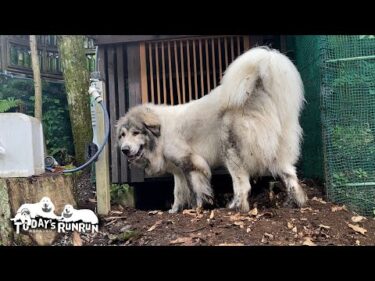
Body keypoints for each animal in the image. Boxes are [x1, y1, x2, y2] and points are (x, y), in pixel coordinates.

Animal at [117, 46, 308, 212]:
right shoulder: (178, 171)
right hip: (277, 152)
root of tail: (256, 91)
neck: (161, 133)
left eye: (136, 133)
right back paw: (297, 202)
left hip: (231, 153)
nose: (124, 149)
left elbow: (197, 189)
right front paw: (175, 210)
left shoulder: (192, 163)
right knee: (291, 175)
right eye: (123, 135)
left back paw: (235, 207)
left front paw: (198, 208)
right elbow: (178, 192)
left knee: (243, 186)